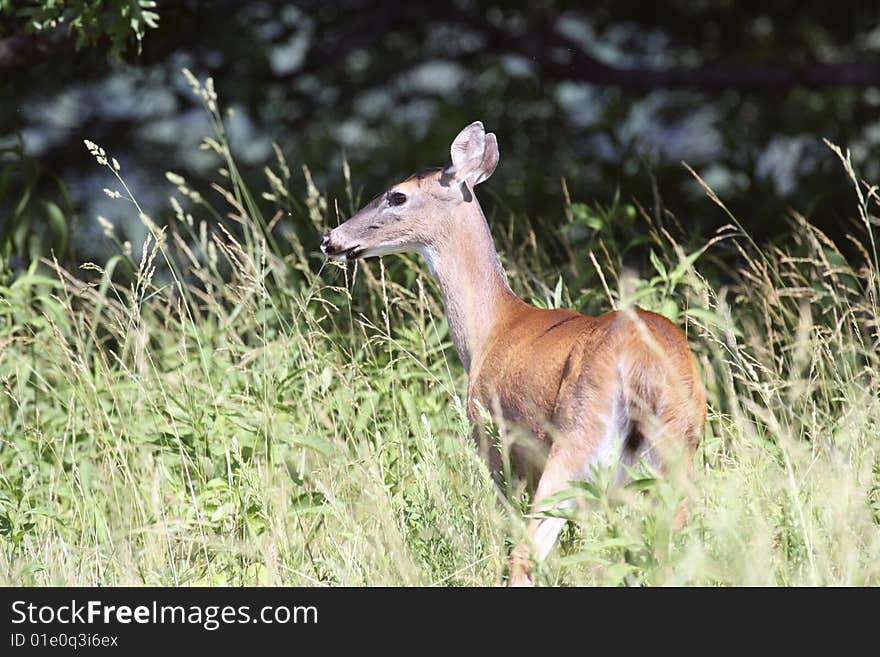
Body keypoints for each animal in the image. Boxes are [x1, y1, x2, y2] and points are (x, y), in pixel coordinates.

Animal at [320, 121, 704, 584]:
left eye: (397, 195)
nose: (330, 239)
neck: (493, 329)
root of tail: (643, 366)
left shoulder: (492, 440)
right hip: (673, 453)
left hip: (577, 442)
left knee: (527, 550)